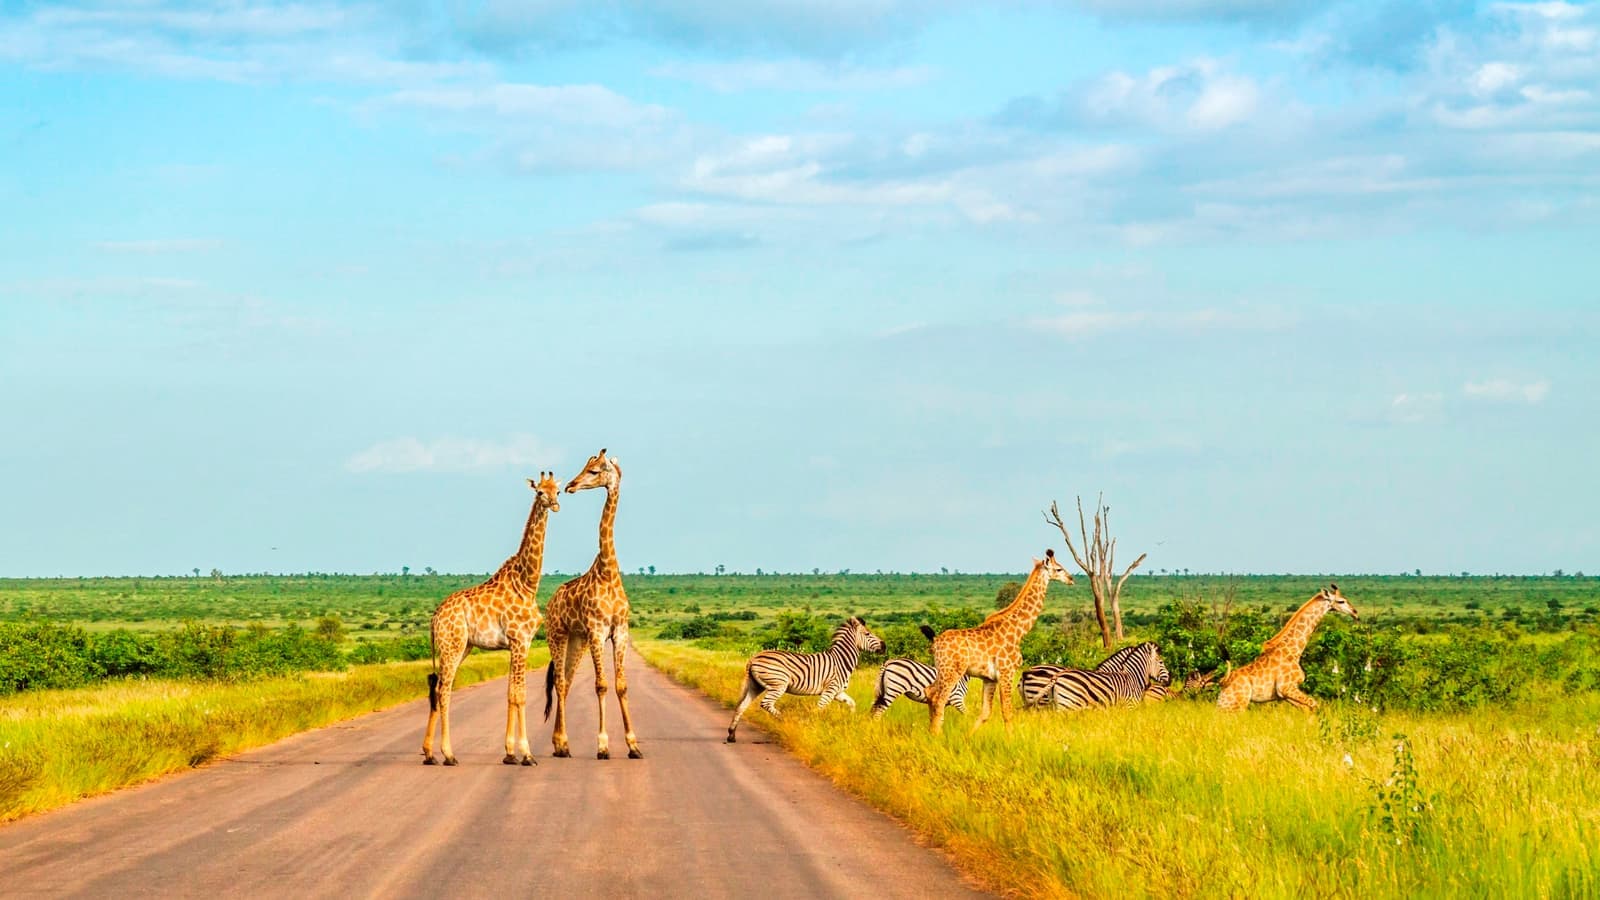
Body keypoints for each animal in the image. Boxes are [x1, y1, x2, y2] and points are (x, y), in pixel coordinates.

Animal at [421, 473, 559, 767]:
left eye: (558, 490)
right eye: (540, 492)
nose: (554, 504)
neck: (528, 583)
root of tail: (435, 617)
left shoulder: (517, 644)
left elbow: (510, 693)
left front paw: (509, 753)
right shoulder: (520, 640)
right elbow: (520, 695)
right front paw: (527, 754)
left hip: (463, 647)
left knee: (437, 688)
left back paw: (429, 753)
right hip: (452, 645)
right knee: (443, 690)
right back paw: (449, 754)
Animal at [542, 448, 642, 760]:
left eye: (595, 471)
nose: (570, 486)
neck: (608, 572)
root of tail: (550, 603)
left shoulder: (619, 631)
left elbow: (621, 685)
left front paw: (633, 745)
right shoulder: (598, 631)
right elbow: (601, 685)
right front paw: (603, 745)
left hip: (577, 640)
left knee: (567, 682)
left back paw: (560, 743)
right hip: (557, 635)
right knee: (560, 682)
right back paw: (562, 743)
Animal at [924, 549, 1074, 735]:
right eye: (1059, 568)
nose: (1071, 579)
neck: (1019, 631)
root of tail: (936, 643)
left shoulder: (990, 678)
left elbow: (985, 712)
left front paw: (968, 737)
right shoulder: (1007, 672)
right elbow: (1007, 711)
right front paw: (1012, 739)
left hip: (942, 670)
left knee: (929, 692)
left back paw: (931, 733)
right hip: (952, 671)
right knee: (939, 699)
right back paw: (937, 736)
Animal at [1216, 584, 1358, 712]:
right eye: (1341, 601)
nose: (1355, 613)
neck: (1294, 651)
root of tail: (1223, 682)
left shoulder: (1285, 694)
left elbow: (1307, 708)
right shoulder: (1286, 688)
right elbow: (1314, 704)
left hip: (1227, 705)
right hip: (1237, 704)